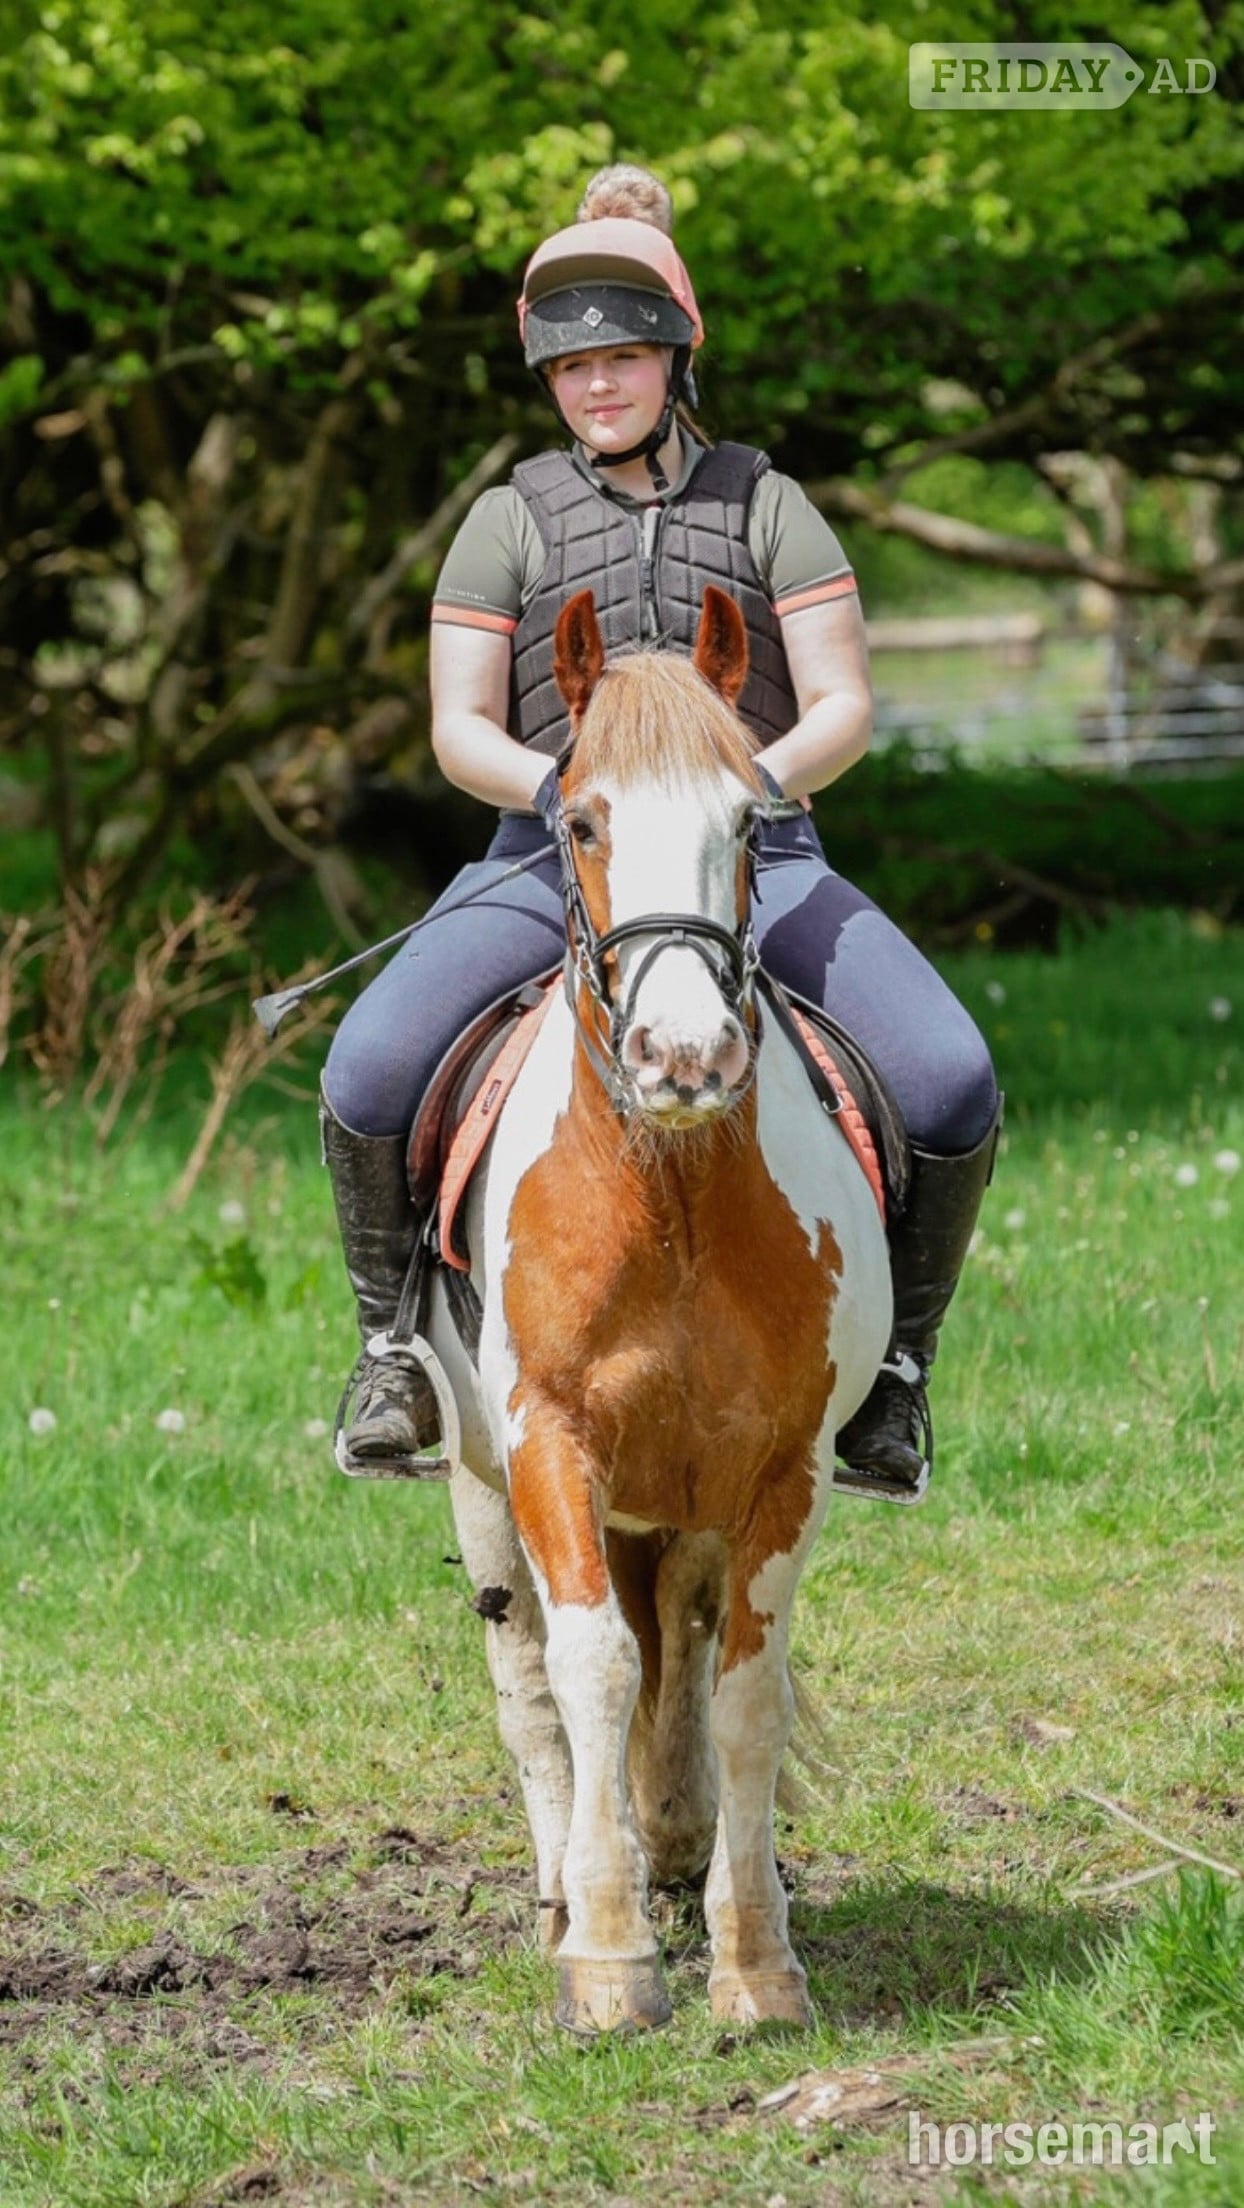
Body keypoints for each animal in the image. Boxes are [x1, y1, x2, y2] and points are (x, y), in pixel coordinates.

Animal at [427, 584, 892, 2033]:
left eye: (747, 822)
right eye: (581, 821)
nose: (683, 1057)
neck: (670, 1196)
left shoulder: (780, 1472)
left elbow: (742, 1691)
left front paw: (755, 1961)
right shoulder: (549, 1445)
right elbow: (588, 1672)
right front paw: (610, 1959)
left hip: (680, 1498)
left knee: (676, 1640)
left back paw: (676, 1842)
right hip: (480, 1487)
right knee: (531, 1686)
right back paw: (568, 1892)